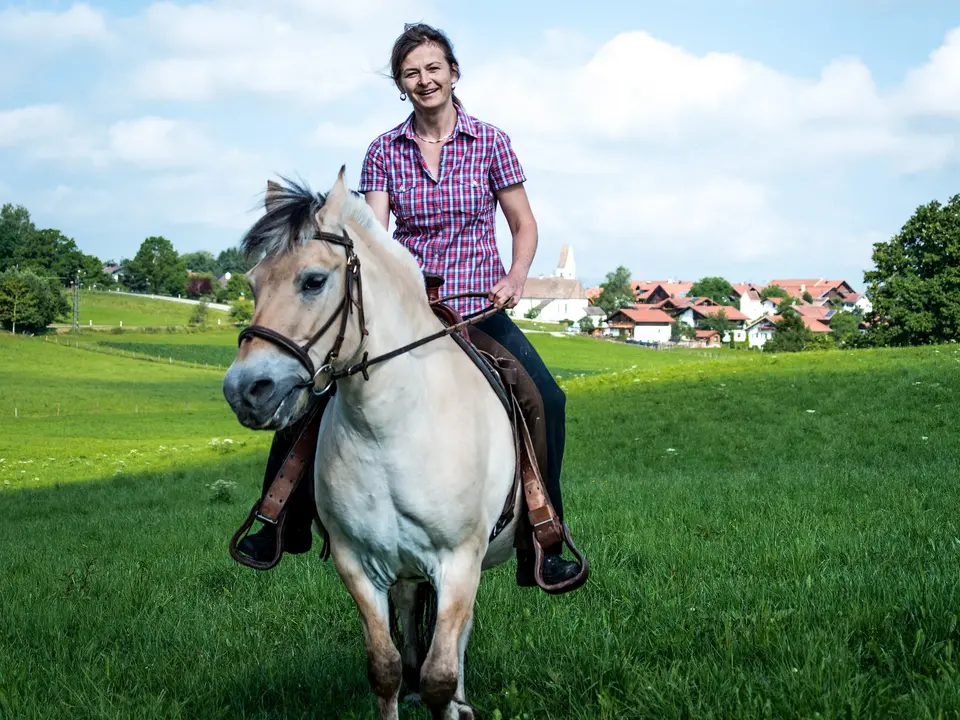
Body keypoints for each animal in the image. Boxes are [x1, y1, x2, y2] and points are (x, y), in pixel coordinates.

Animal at [220, 170, 524, 720]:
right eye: (252, 283)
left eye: (313, 280)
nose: (244, 390)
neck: (390, 427)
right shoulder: (357, 563)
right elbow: (385, 669)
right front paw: (405, 684)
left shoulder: (458, 561)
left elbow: (440, 676)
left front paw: (450, 701)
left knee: (457, 635)